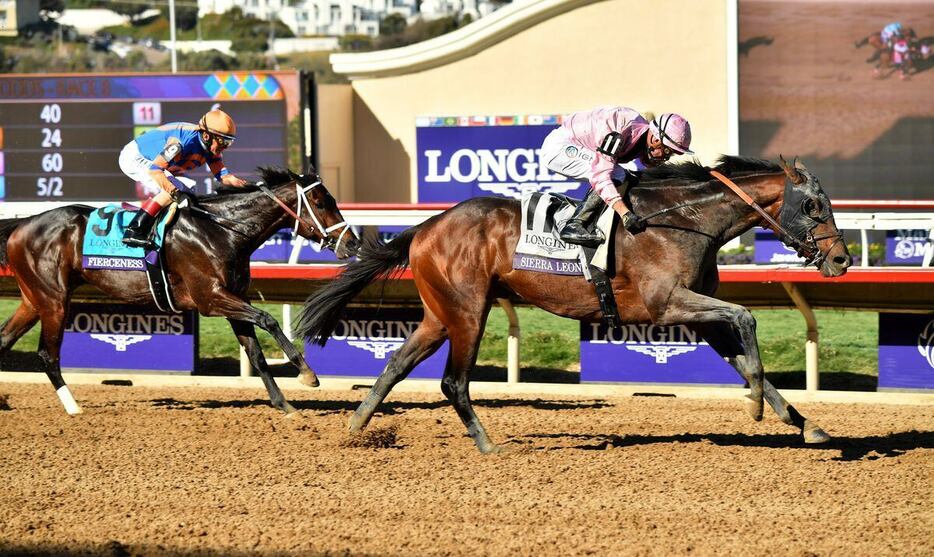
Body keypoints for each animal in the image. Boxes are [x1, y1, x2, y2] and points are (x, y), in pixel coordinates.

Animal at [0, 167, 358, 414]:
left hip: (34, 299)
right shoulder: (211, 298)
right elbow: (267, 320)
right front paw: (307, 373)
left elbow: (255, 353)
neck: (221, 230)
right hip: (54, 300)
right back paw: (74, 406)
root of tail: (23, 223)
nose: (352, 242)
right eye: (320, 202)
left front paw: (284, 405)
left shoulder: (233, 298)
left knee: (4, 339)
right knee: (48, 354)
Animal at [300, 154, 856, 454]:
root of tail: (426, 225)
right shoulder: (667, 305)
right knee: (453, 381)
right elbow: (747, 319)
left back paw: (356, 426)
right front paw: (758, 407)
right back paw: (487, 443)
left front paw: (805, 424)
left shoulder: (695, 311)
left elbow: (742, 354)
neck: (685, 219)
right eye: (813, 205)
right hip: (468, 311)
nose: (842, 259)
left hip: (440, 314)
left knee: (397, 363)